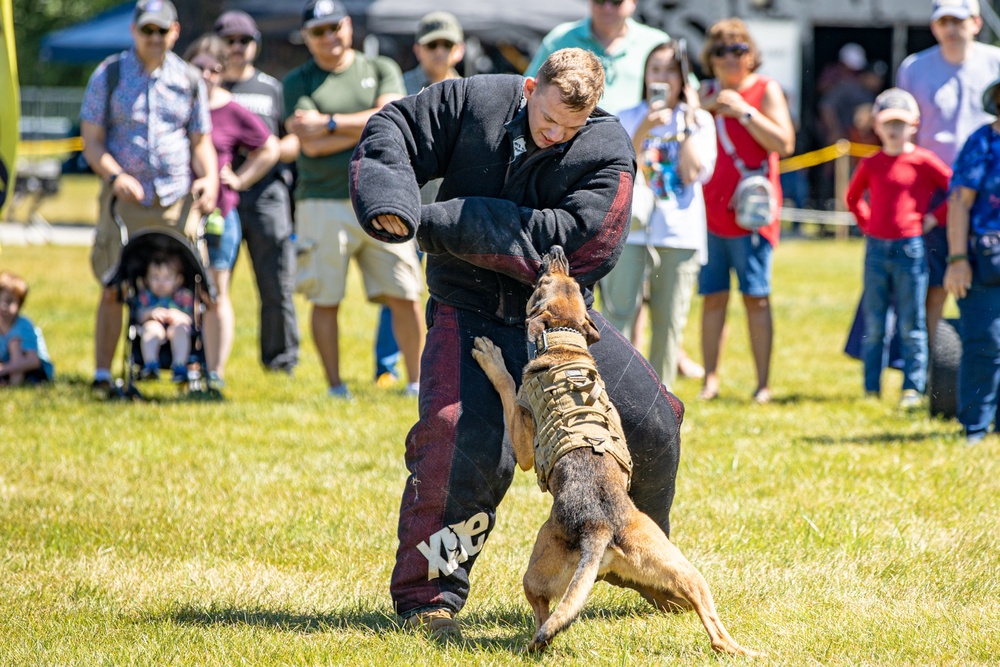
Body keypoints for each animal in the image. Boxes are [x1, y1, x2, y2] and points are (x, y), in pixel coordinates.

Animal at [470, 247, 756, 656]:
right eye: (570, 284)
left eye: (543, 282)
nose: (556, 251)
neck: (565, 344)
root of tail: (600, 529)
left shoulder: (525, 443)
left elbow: (508, 385)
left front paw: (490, 356)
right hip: (679, 567)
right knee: (714, 629)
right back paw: (742, 649)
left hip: (535, 568)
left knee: (544, 614)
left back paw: (537, 640)